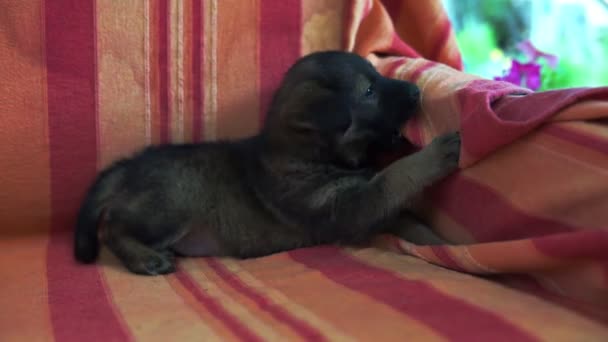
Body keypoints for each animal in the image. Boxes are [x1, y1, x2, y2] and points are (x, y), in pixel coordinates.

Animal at [73, 50, 458, 276]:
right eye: (368, 92)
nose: (417, 92)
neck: (310, 155)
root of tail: (127, 167)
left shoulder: (370, 208)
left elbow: (410, 220)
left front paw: (444, 246)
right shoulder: (348, 206)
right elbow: (395, 176)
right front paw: (435, 153)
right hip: (172, 202)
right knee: (113, 229)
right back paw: (145, 259)